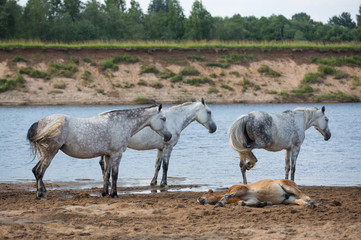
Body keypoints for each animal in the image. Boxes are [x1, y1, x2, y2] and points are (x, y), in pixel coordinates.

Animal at [26, 104, 170, 200]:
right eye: (163, 118)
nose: (169, 136)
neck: (122, 123)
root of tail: (39, 123)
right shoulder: (117, 154)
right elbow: (115, 175)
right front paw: (114, 194)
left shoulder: (107, 155)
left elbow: (106, 174)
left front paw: (105, 193)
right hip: (49, 153)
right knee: (39, 171)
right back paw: (40, 195)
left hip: (44, 154)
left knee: (35, 171)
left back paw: (42, 192)